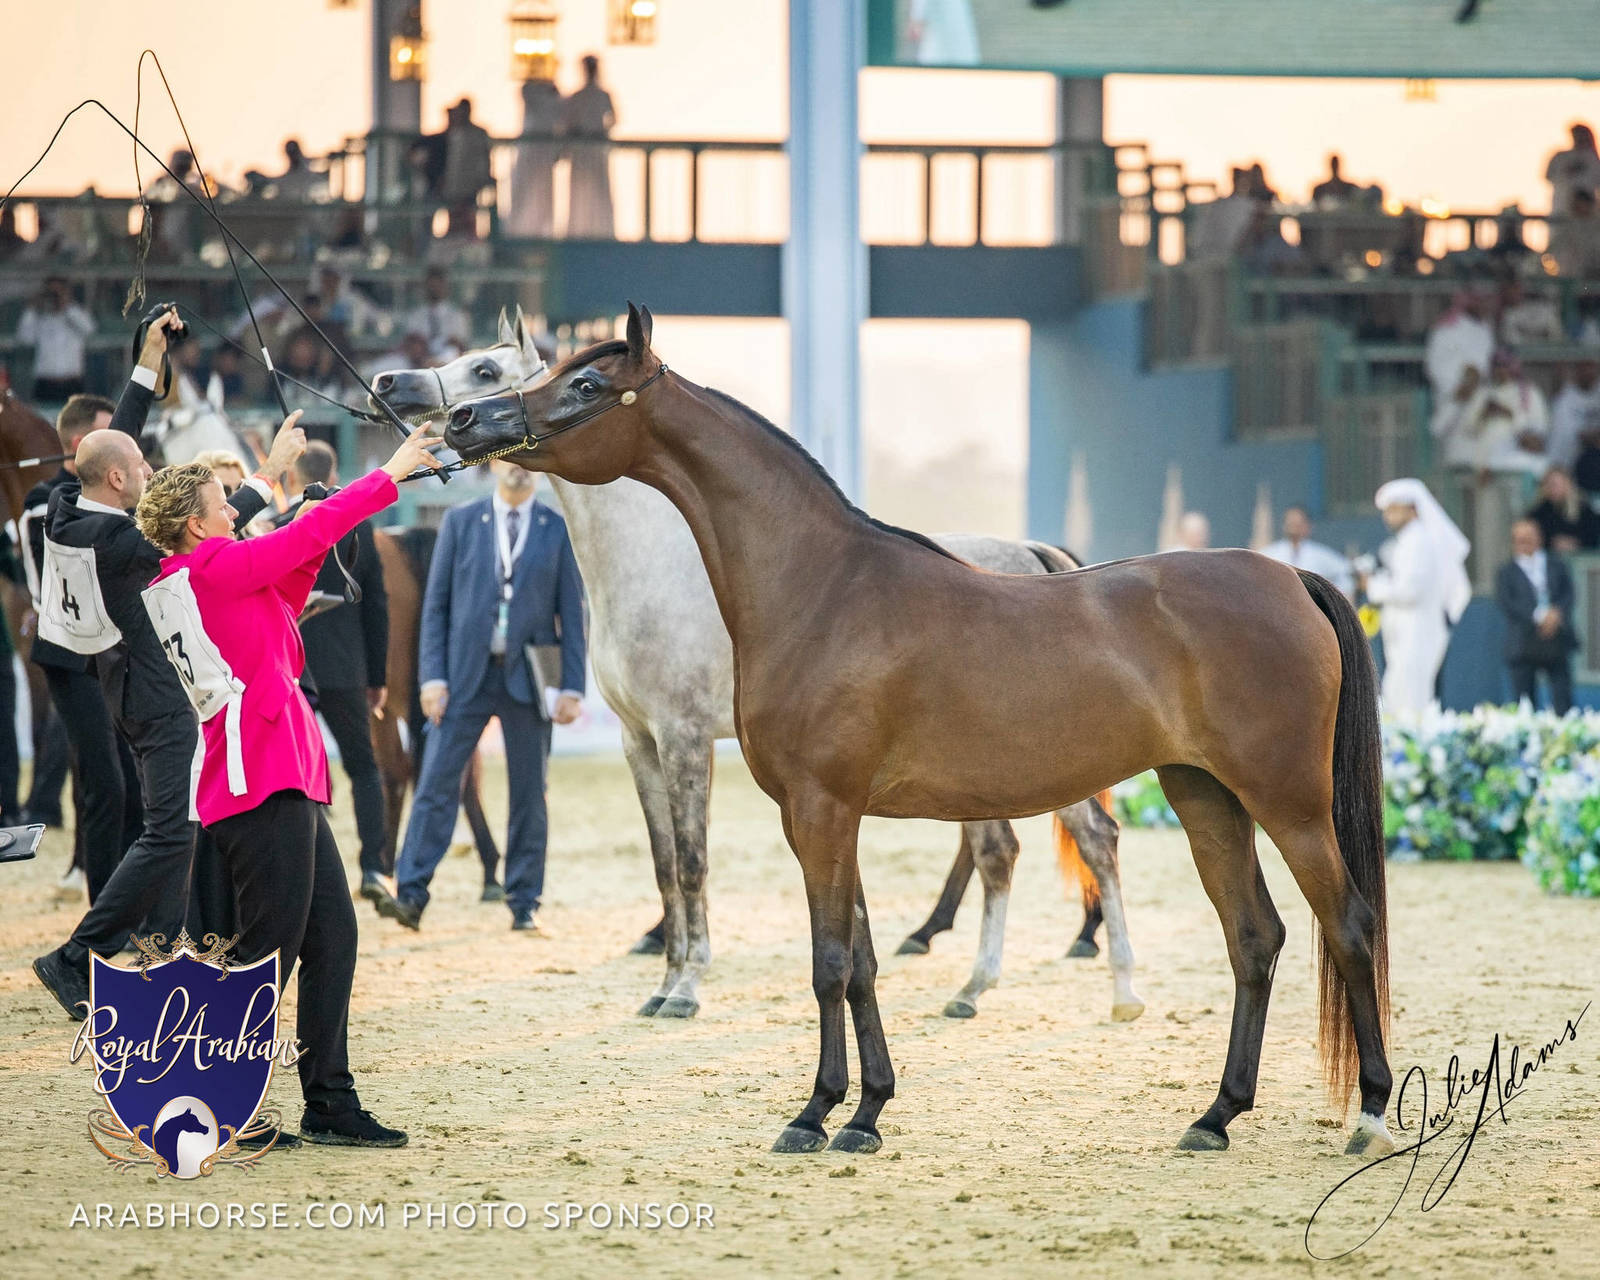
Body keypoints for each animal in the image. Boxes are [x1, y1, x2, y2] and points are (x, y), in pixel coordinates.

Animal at [370, 315, 1140, 1024]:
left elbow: (691, 861)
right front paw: (663, 980)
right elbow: (663, 865)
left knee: (1077, 842)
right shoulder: (640, 741)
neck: (649, 568)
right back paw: (967, 969)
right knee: (1011, 848)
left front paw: (686, 987)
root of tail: (1032, 553)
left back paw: (1088, 984)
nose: (394, 387)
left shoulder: (683, 737)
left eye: (486, 369)